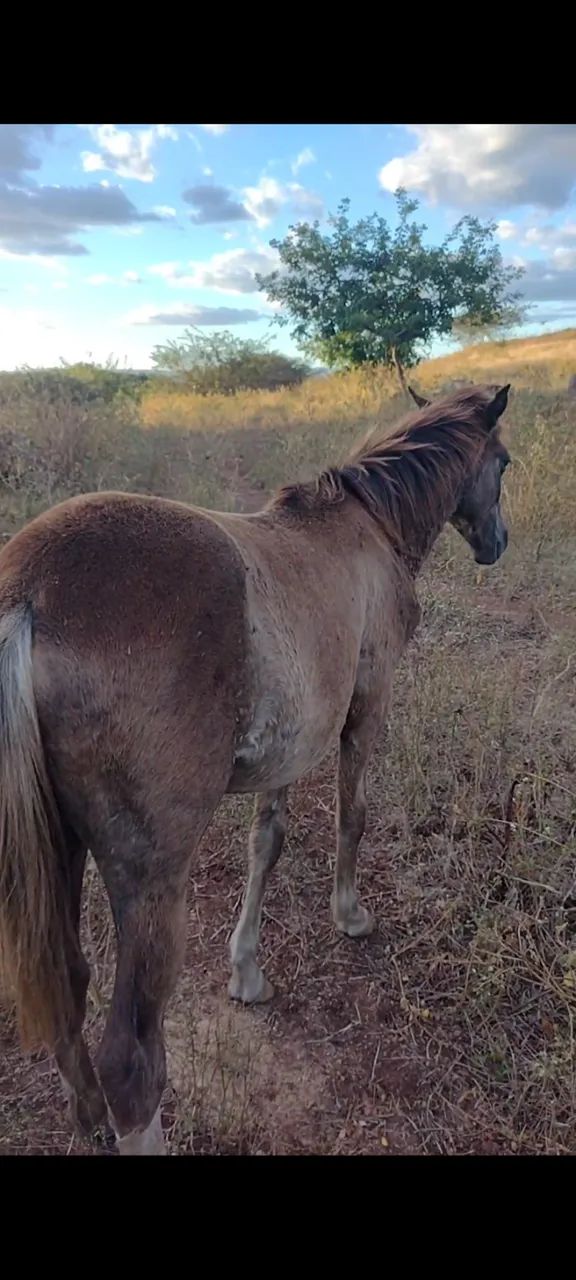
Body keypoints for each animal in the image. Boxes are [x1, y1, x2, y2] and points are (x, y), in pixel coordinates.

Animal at [0, 382, 511, 1154]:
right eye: (504, 462)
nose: (496, 543)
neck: (366, 525)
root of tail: (31, 594)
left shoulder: (291, 743)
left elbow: (264, 845)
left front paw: (246, 969)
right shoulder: (366, 705)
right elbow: (352, 817)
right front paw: (350, 915)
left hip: (59, 848)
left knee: (68, 985)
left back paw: (87, 1118)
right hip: (150, 882)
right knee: (132, 1060)